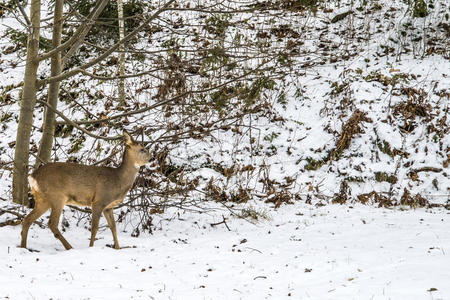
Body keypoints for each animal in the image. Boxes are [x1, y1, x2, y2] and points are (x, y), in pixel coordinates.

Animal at [20, 132, 150, 250]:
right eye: (142, 149)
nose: (152, 157)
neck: (118, 180)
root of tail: (32, 176)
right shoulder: (98, 201)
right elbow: (94, 228)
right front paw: (91, 247)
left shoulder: (108, 207)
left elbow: (113, 227)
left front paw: (118, 248)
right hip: (57, 197)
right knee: (52, 224)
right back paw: (70, 247)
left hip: (43, 199)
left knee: (27, 219)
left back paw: (23, 246)